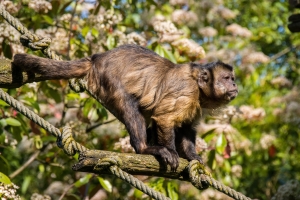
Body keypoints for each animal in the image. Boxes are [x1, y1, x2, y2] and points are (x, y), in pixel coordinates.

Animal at [12, 44, 239, 171]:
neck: (200, 89)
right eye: (227, 78)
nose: (235, 85)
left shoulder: (197, 103)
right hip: (108, 78)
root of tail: (98, 57)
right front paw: (172, 152)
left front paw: (193, 157)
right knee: (130, 106)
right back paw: (144, 148)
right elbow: (165, 118)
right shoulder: (186, 91)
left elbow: (186, 129)